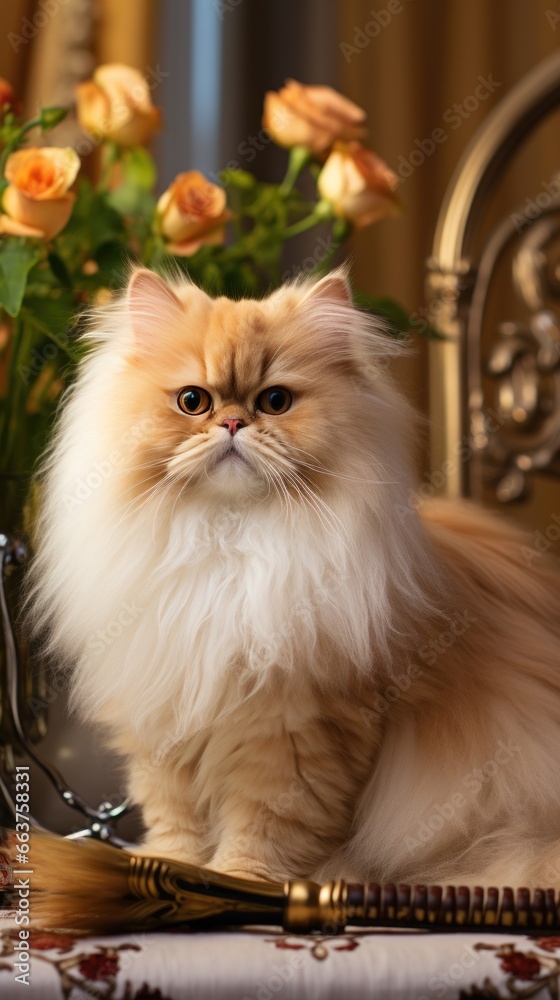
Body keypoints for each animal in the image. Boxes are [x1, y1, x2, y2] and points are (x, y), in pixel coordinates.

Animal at [29, 266, 560, 884]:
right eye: (193, 401)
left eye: (275, 401)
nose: (234, 422)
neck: (228, 546)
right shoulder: (167, 716)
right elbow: (176, 817)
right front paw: (170, 866)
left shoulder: (298, 731)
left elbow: (267, 824)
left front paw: (238, 879)